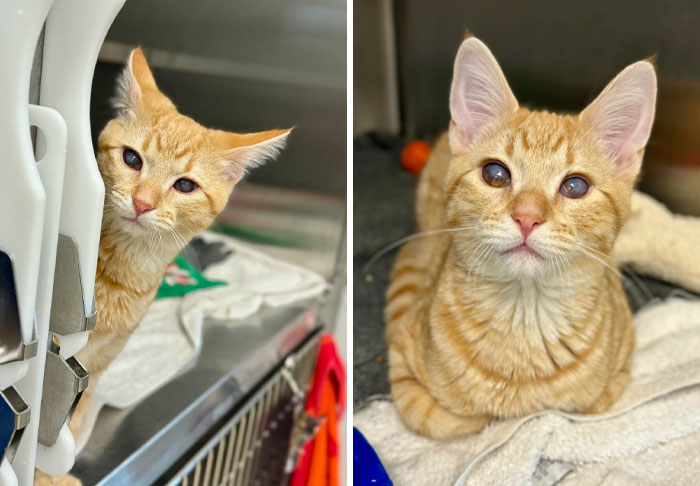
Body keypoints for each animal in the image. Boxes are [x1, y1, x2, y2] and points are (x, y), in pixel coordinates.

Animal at [34, 46, 292, 486]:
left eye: (185, 185)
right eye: (131, 159)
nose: (142, 203)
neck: (119, 275)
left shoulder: (97, 362)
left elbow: (68, 424)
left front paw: (53, 472)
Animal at [386, 37, 660, 440]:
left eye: (575, 186)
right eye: (495, 174)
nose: (527, 217)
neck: (525, 317)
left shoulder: (617, 371)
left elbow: (584, 404)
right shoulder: (402, 365)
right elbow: (449, 419)